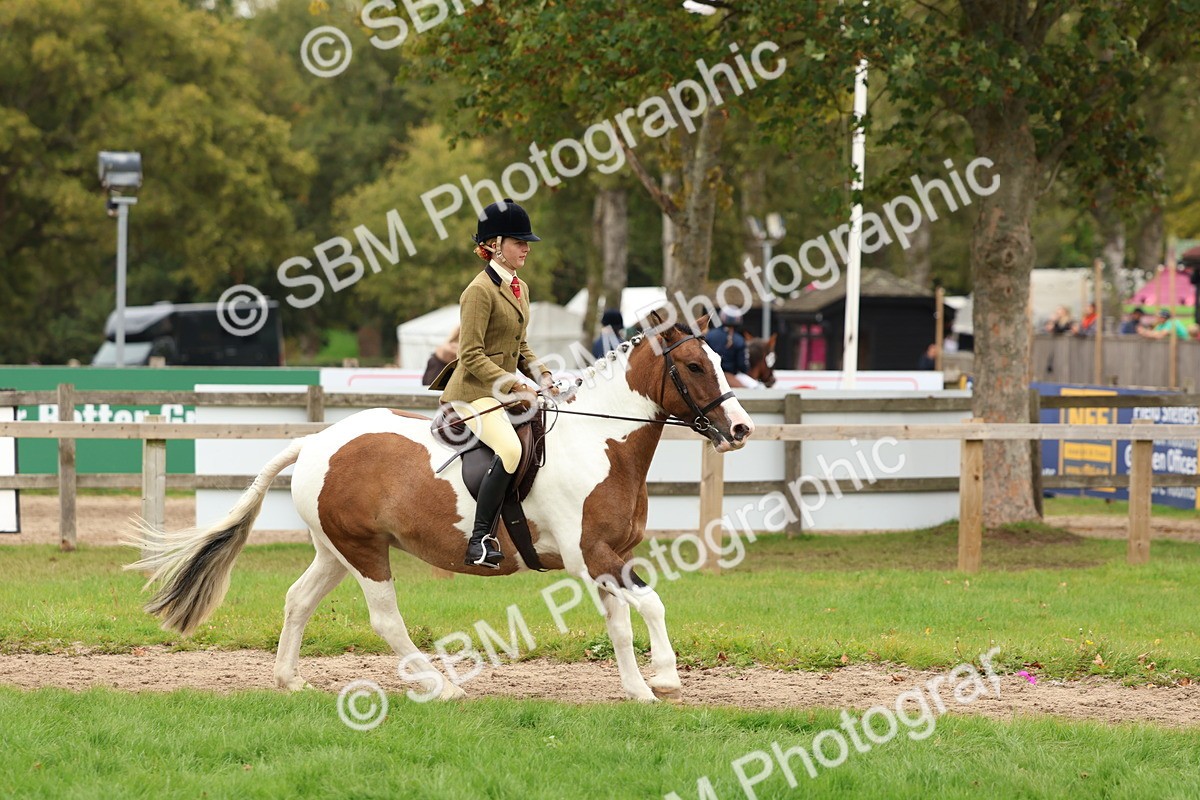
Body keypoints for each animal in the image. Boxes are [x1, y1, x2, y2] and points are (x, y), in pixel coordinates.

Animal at [127, 311, 754, 703]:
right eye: (695, 367)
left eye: (722, 362)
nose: (741, 429)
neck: (601, 443)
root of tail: (316, 443)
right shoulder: (591, 554)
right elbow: (650, 604)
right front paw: (666, 679)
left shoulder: (608, 557)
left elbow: (622, 622)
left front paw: (638, 689)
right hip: (364, 552)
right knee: (385, 619)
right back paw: (442, 686)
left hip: (336, 550)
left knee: (298, 599)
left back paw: (289, 681)